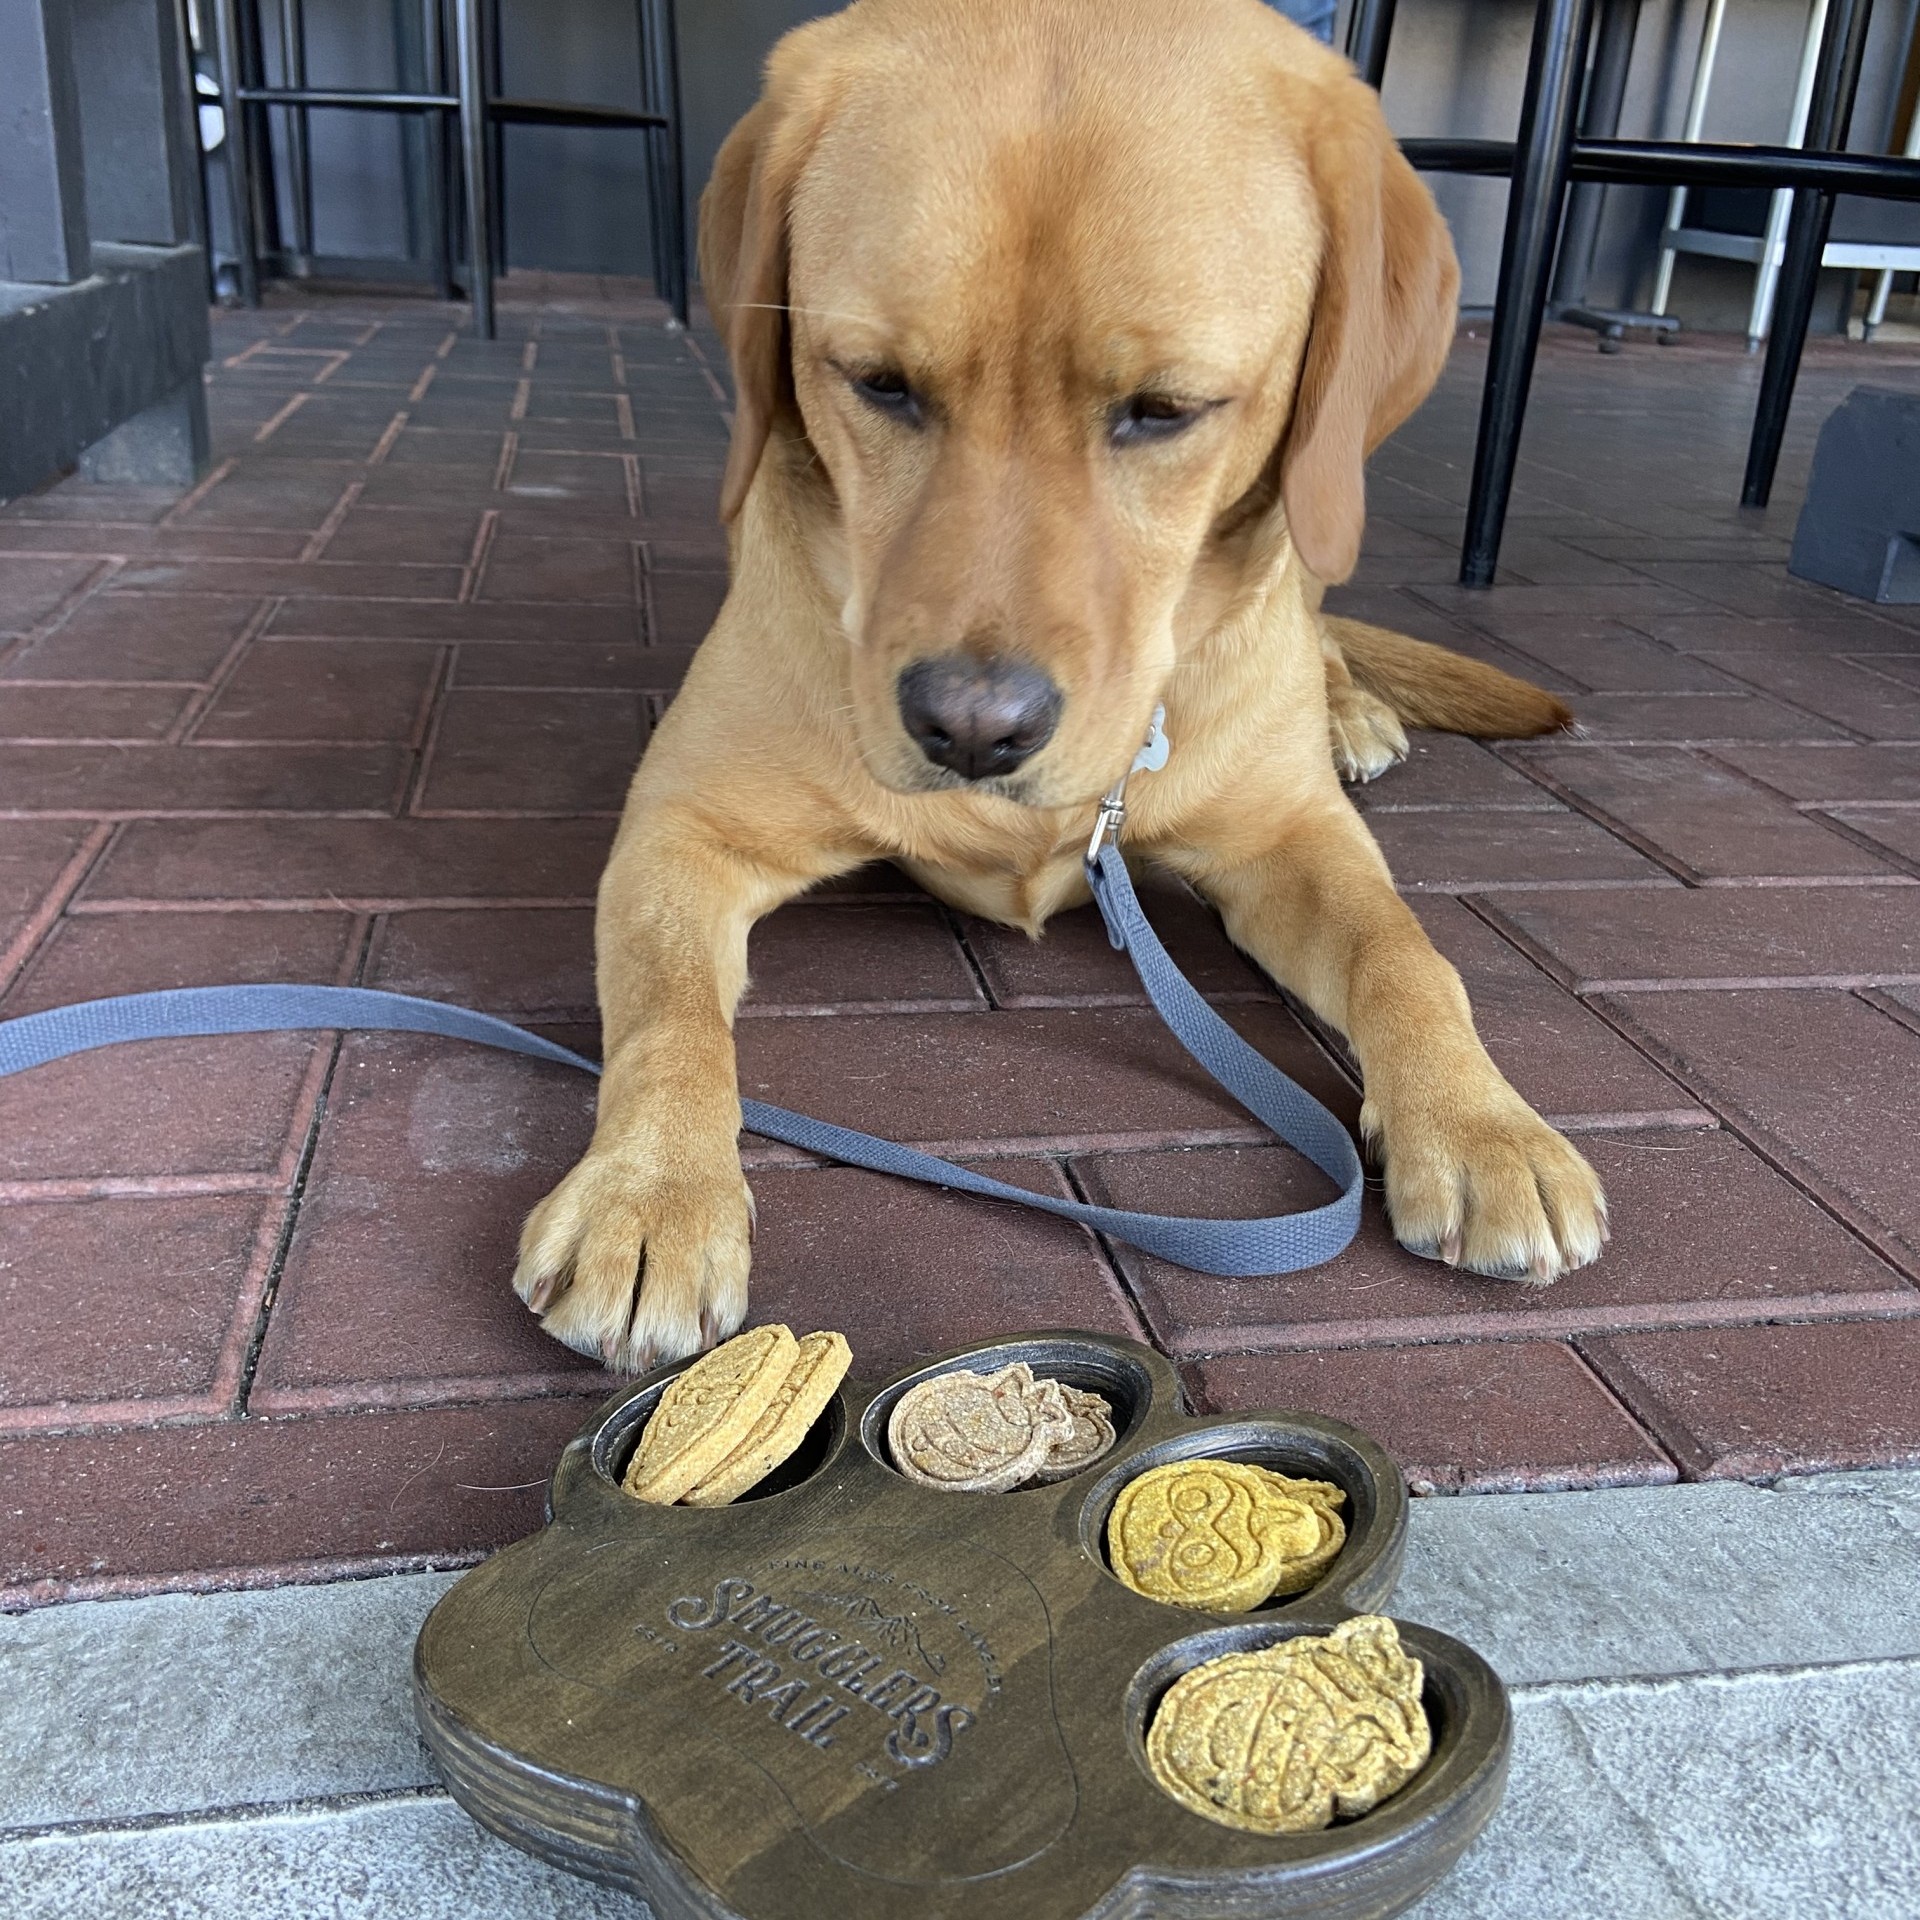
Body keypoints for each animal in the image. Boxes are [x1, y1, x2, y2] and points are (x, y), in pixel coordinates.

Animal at [513, 0, 1606, 1371]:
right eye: (876, 381)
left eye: (1166, 409)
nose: (973, 730)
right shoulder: (683, 825)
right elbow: (664, 1014)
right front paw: (650, 1191)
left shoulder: (1293, 837)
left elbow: (1409, 955)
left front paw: (1486, 1125)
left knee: (1325, 639)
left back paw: (1354, 712)